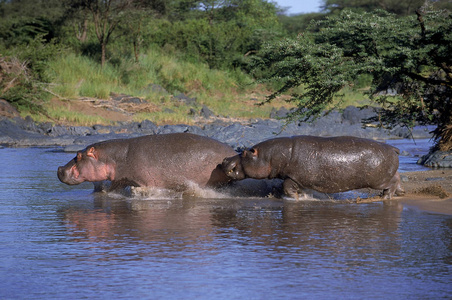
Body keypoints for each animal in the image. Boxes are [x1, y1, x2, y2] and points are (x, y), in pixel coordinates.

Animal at [57, 133, 237, 191]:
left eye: (78, 155)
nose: (59, 168)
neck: (114, 157)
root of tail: (234, 153)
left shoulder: (141, 181)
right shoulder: (121, 179)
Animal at [222, 136, 406, 199]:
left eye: (244, 152)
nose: (225, 159)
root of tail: (392, 148)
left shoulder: (294, 177)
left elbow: (287, 187)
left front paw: (296, 198)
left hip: (379, 180)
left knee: (391, 183)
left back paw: (385, 197)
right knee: (397, 178)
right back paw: (401, 193)